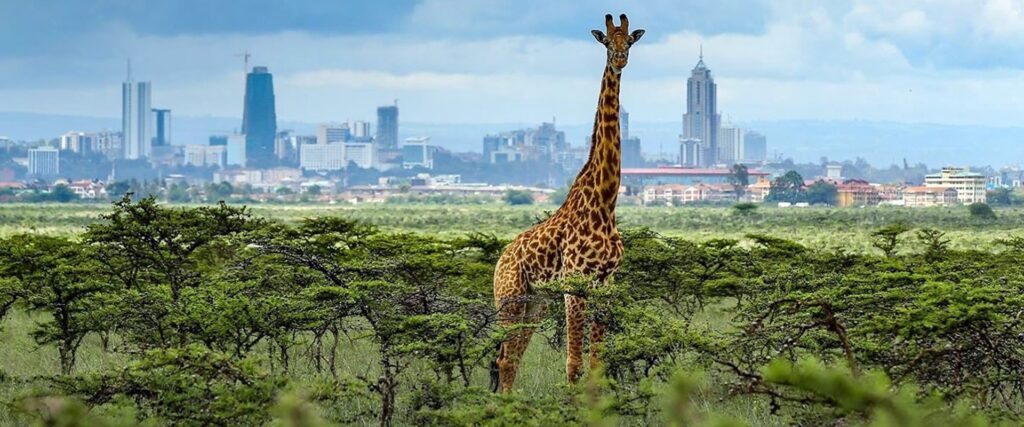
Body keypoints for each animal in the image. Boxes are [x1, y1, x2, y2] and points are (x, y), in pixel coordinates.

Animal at [491, 14, 643, 393]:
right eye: (607, 42)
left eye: (630, 41)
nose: (620, 60)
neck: (605, 202)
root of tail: (500, 261)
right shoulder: (575, 283)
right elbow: (573, 366)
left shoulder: (605, 284)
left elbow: (596, 365)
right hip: (510, 298)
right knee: (504, 358)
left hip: (536, 302)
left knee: (512, 358)